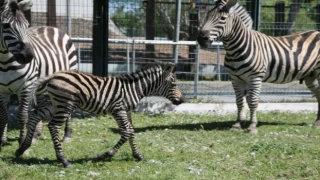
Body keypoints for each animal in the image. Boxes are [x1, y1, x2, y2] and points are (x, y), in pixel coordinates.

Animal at [0, 0, 76, 148]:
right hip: (41, 86)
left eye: (26, 25)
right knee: (40, 107)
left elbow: (22, 116)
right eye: (5, 25)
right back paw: (36, 135)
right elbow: (4, 116)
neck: (4, 62)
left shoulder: (25, 86)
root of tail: (51, 27)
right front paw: (3, 140)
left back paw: (67, 135)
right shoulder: (2, 90)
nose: (29, 56)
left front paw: (21, 140)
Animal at [15, 62, 185, 168]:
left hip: (54, 103)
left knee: (35, 116)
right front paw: (105, 155)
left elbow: (131, 132)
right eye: (174, 84)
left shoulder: (127, 111)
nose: (182, 100)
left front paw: (138, 155)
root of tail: (53, 75)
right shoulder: (118, 109)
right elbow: (127, 131)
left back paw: (22, 148)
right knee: (54, 126)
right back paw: (63, 160)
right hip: (65, 103)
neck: (134, 88)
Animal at [196, 0, 320, 134]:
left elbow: (253, 101)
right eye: (207, 16)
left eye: (222, 18)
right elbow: (239, 101)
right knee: (318, 94)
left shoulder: (255, 77)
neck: (236, 49)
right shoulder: (236, 78)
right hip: (311, 76)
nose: (201, 38)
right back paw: (317, 122)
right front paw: (238, 124)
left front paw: (252, 126)